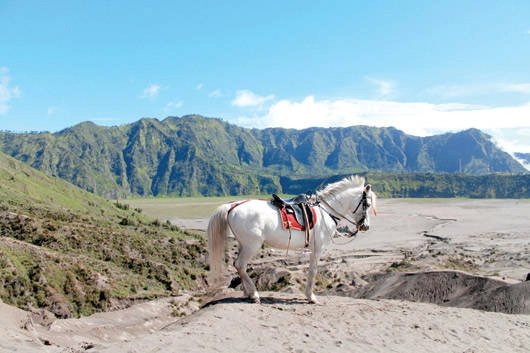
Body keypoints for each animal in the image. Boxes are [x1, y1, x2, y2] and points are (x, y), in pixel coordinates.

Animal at [206, 175, 376, 304]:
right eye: (367, 204)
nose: (366, 226)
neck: (326, 211)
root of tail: (233, 206)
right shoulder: (317, 247)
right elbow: (313, 270)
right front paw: (310, 297)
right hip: (252, 245)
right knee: (240, 265)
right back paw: (254, 294)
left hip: (243, 244)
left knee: (238, 266)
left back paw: (247, 293)